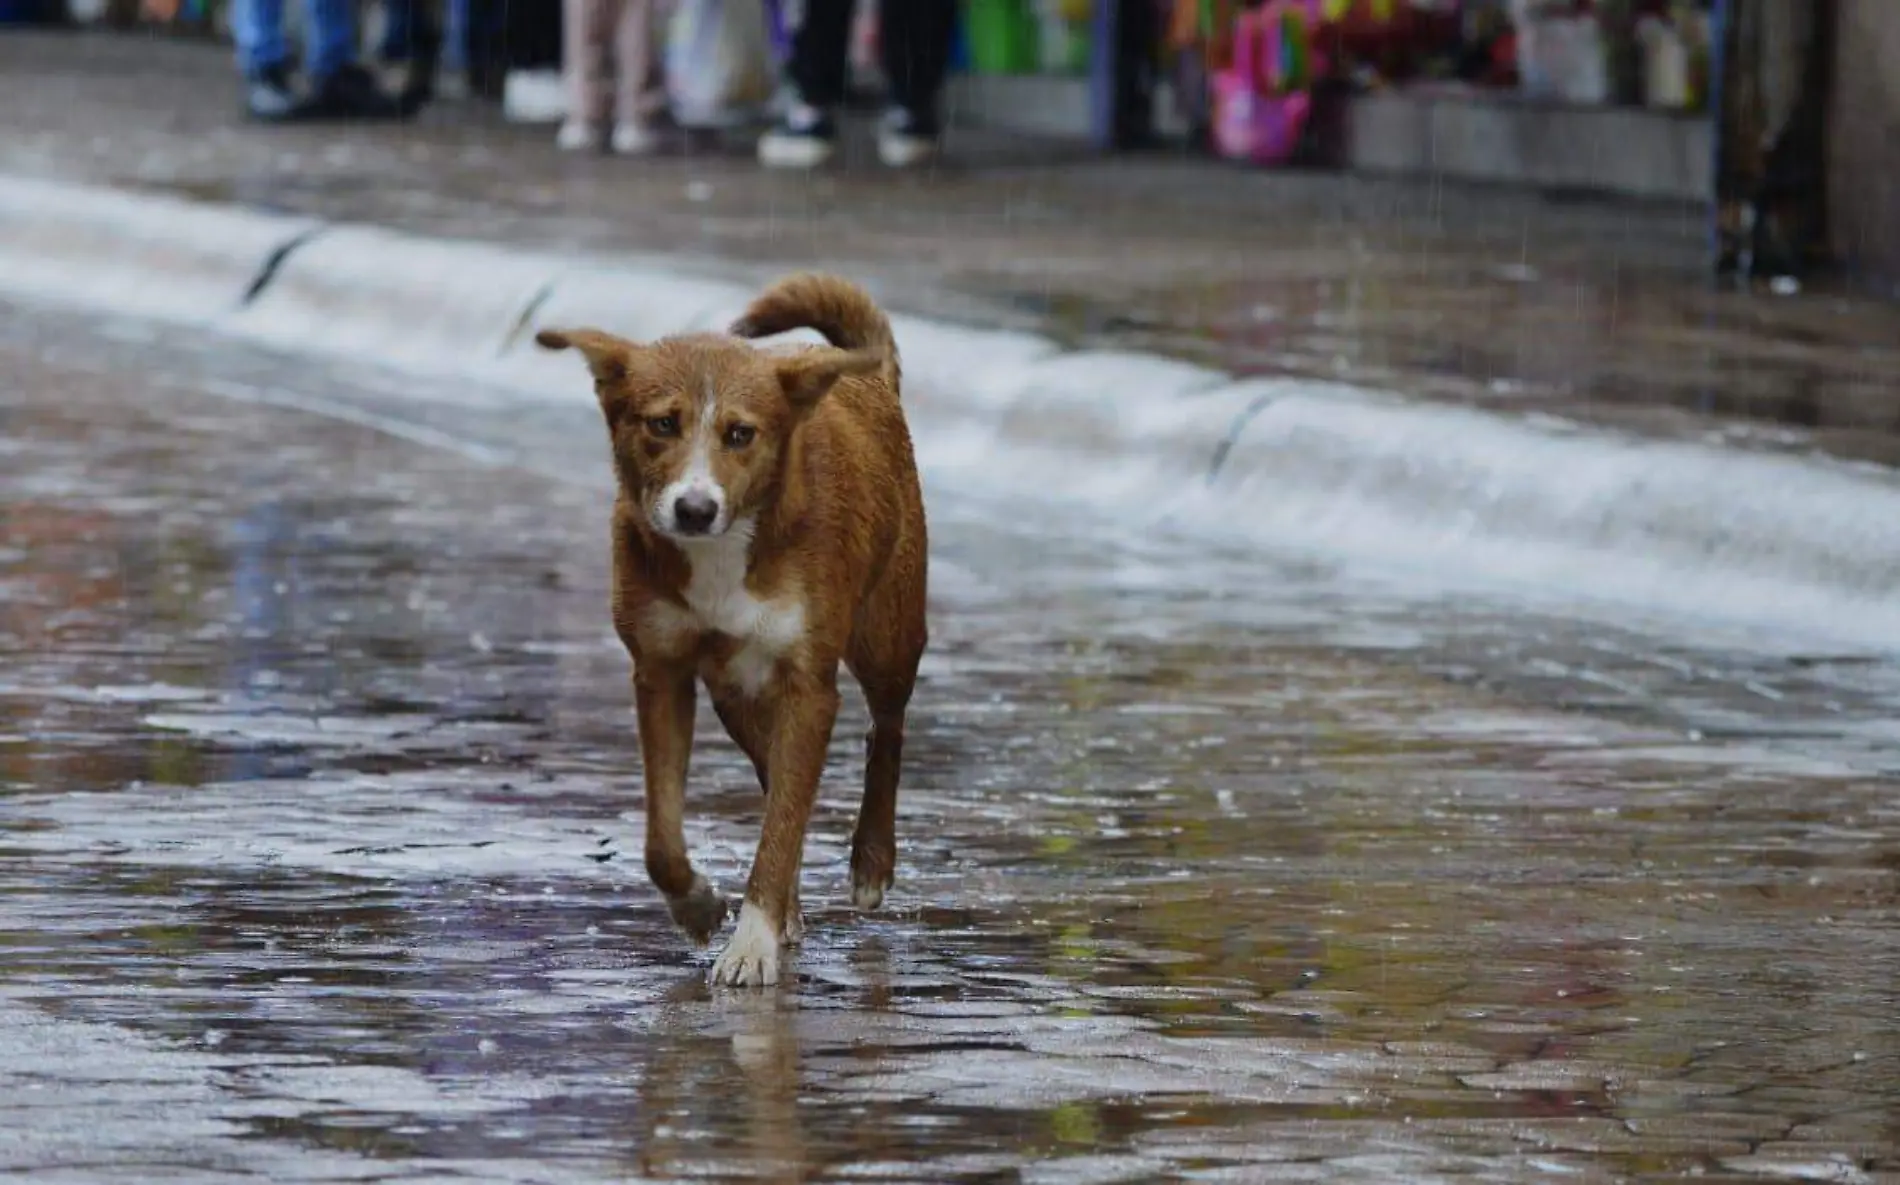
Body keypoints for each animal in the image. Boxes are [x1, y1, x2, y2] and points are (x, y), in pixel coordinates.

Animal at [535, 273, 927, 987]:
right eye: (663, 423)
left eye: (741, 434)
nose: (694, 509)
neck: (726, 549)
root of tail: (864, 375)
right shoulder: (660, 671)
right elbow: (665, 836)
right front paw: (697, 906)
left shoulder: (809, 684)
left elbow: (783, 823)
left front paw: (752, 943)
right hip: (737, 693)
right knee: (776, 777)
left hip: (887, 637)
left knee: (885, 730)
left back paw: (870, 863)